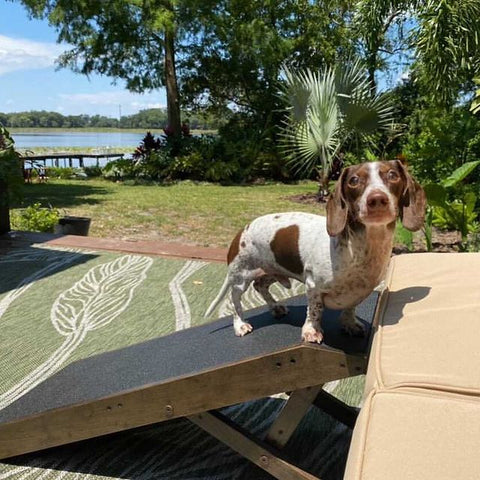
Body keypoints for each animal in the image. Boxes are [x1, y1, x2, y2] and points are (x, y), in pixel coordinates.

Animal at [204, 160, 426, 342]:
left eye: (392, 175)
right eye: (354, 180)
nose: (377, 199)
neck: (359, 249)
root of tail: (242, 231)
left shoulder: (358, 291)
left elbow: (350, 308)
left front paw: (349, 324)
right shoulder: (313, 286)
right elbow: (315, 310)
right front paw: (311, 331)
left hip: (273, 271)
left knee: (260, 286)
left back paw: (275, 307)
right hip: (240, 277)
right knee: (234, 301)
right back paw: (240, 324)